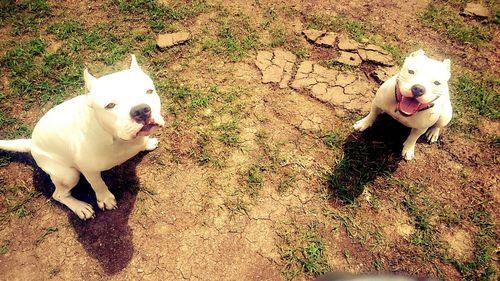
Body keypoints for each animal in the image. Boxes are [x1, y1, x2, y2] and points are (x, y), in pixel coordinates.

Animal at [0, 54, 164, 219]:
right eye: (110, 105)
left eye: (149, 91)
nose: (141, 110)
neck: (116, 138)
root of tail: (32, 144)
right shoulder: (89, 170)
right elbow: (98, 184)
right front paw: (105, 198)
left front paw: (148, 143)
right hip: (68, 175)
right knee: (58, 195)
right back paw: (80, 207)